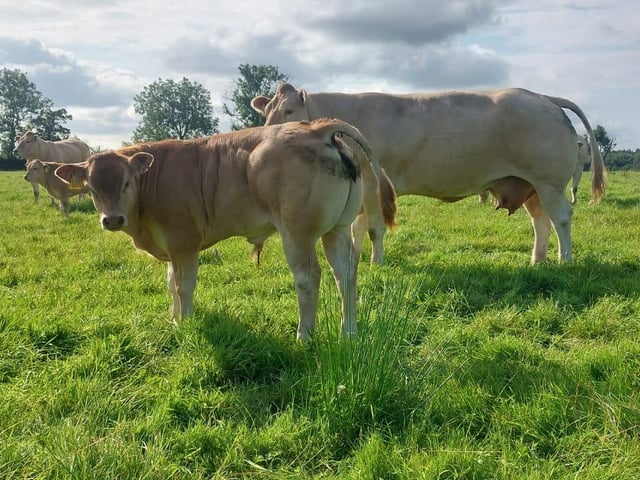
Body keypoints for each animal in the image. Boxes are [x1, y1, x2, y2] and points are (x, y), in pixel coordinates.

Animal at [55, 119, 395, 340]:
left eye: (126, 183)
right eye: (92, 188)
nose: (112, 219)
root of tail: (316, 128)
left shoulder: (184, 243)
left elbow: (184, 285)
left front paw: (186, 322)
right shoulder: (172, 249)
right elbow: (170, 283)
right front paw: (173, 318)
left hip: (297, 235)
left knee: (308, 278)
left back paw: (304, 337)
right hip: (337, 230)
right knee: (345, 275)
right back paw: (348, 333)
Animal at [252, 83, 606, 264]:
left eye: (288, 111)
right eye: (266, 111)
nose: (267, 134)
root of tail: (542, 96)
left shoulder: (374, 183)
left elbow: (374, 228)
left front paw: (376, 263)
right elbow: (357, 227)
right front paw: (355, 258)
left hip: (550, 183)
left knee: (561, 219)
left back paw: (564, 260)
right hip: (529, 184)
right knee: (541, 222)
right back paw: (537, 261)